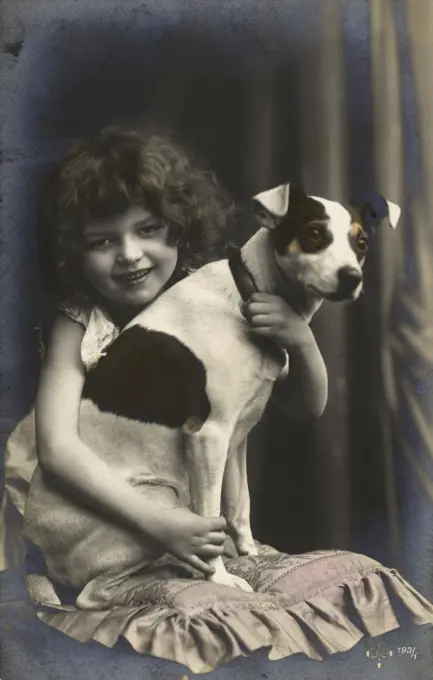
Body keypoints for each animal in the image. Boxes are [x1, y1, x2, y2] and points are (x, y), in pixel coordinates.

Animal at [22, 183, 398, 604]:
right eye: (315, 233)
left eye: (361, 242)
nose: (351, 277)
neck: (247, 292)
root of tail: (39, 554)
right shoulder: (209, 435)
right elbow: (210, 519)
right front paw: (220, 579)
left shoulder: (236, 439)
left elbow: (238, 506)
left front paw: (250, 554)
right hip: (158, 501)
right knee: (92, 594)